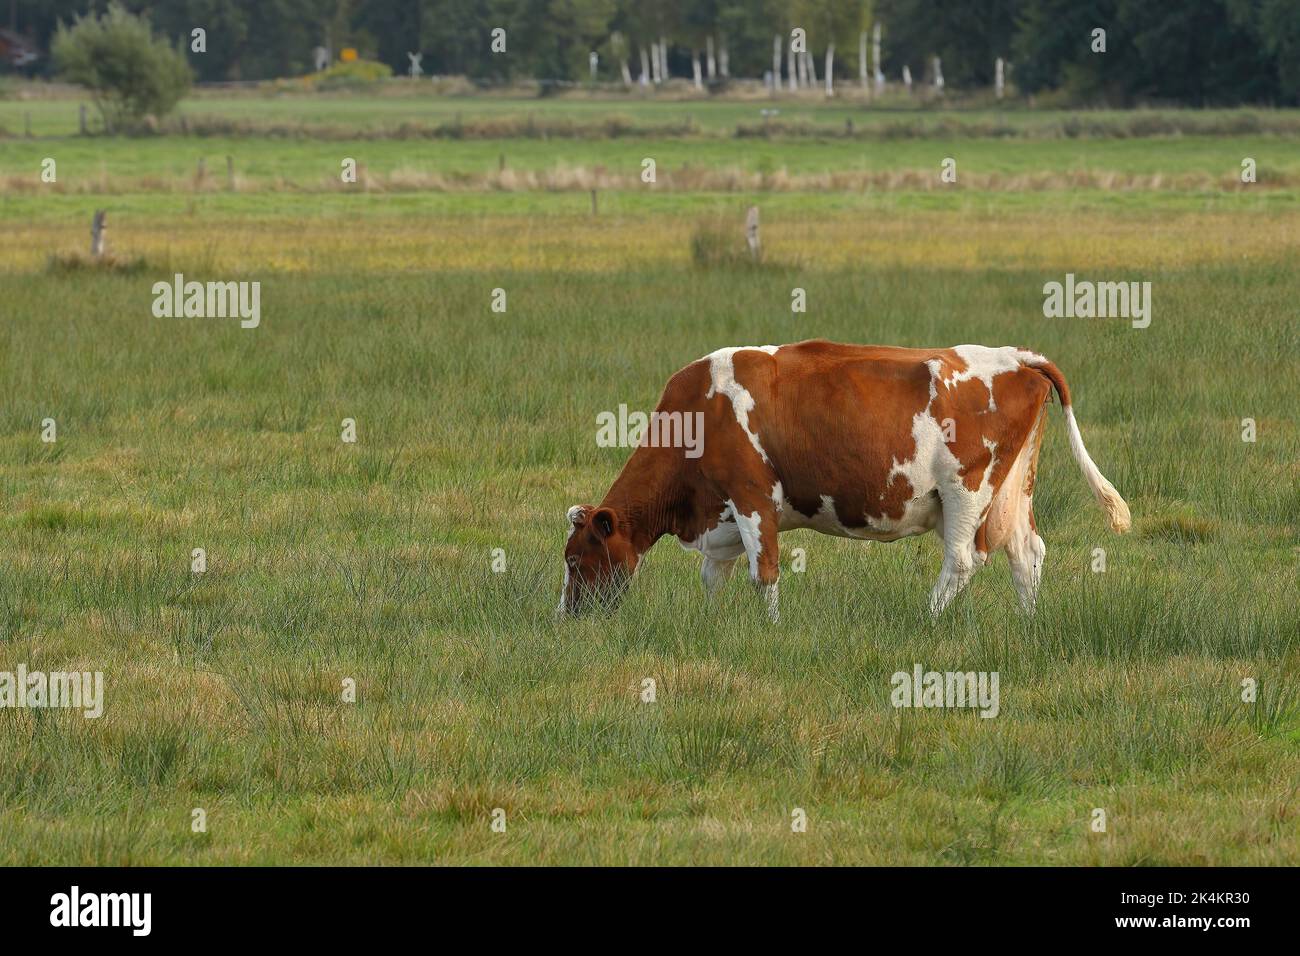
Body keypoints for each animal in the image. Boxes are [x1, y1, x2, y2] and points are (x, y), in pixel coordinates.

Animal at [560, 341, 1130, 620]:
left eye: (576, 559)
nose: (567, 617)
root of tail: (1017, 357)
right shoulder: (721, 512)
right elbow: (713, 575)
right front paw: (711, 623)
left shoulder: (752, 495)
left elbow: (763, 572)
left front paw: (770, 629)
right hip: (1010, 489)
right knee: (1026, 553)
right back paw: (1026, 625)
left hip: (967, 490)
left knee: (963, 561)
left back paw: (926, 619)